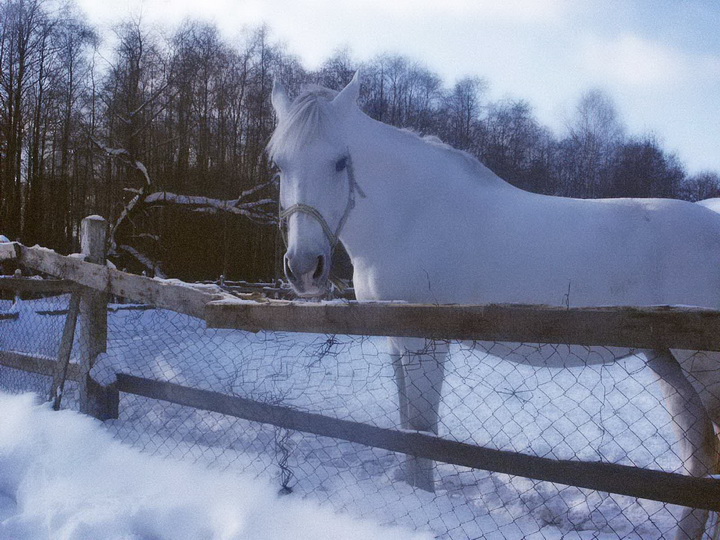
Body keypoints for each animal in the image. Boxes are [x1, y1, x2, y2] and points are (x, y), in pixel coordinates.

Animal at [268, 74, 720, 536]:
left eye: (341, 162)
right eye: (279, 165)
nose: (304, 268)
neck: (412, 216)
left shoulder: (424, 343)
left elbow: (422, 431)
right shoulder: (395, 339)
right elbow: (406, 428)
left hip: (701, 365)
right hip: (667, 362)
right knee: (699, 460)